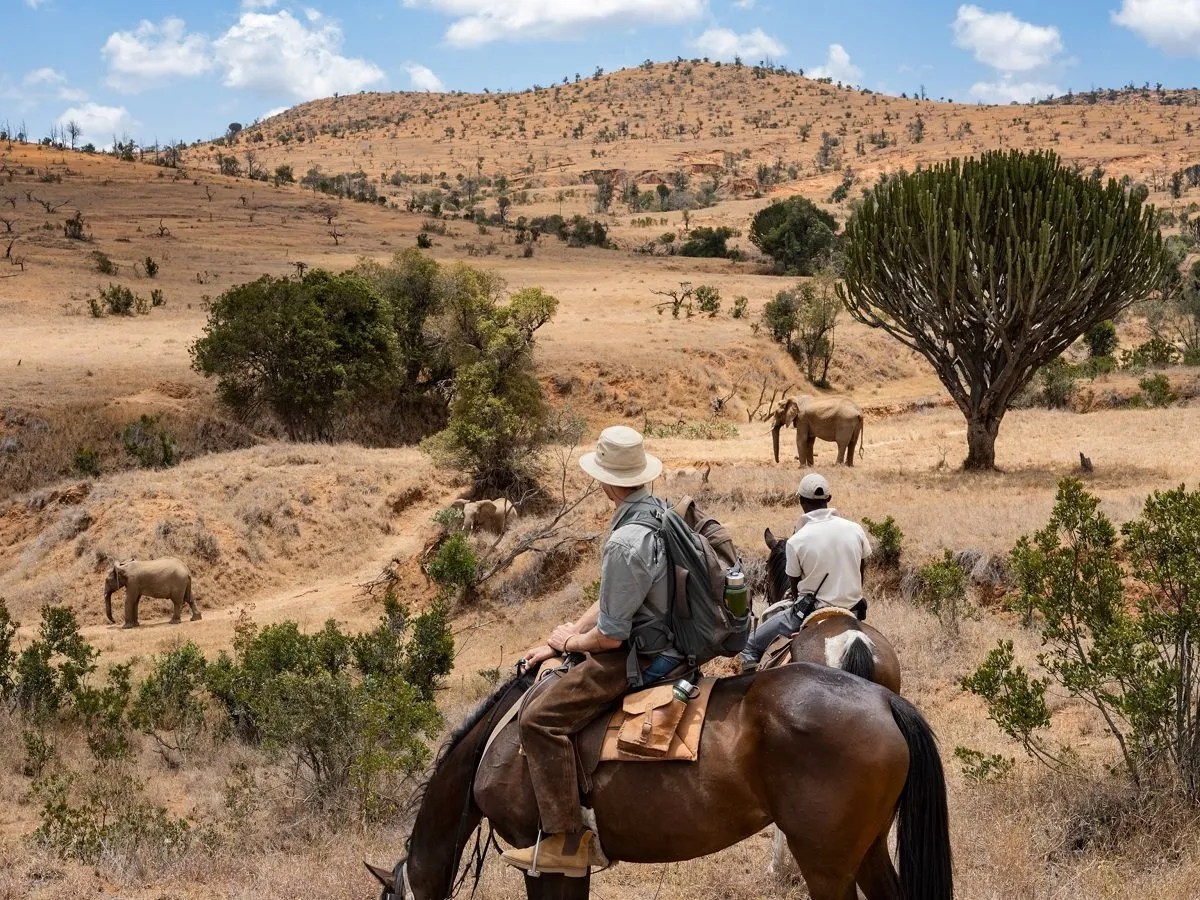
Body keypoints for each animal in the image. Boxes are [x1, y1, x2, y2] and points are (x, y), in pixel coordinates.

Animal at [364, 657, 945, 897]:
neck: (496, 749)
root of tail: (882, 699)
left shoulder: (539, 857)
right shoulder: (570, 865)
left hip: (825, 863)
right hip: (865, 850)